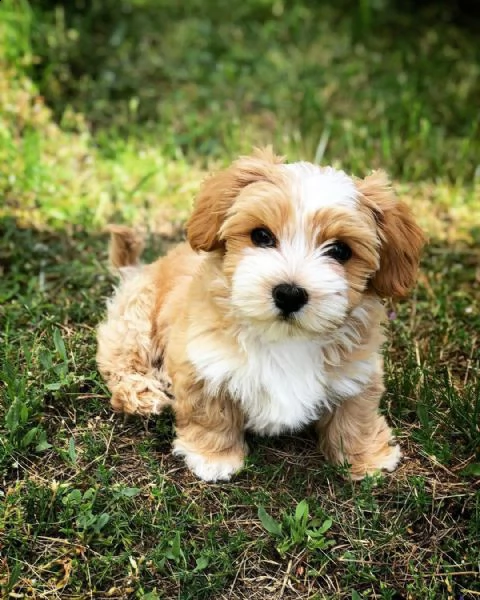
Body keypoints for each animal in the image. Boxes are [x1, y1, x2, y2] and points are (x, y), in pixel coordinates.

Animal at [96, 149, 424, 482]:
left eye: (341, 251)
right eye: (261, 236)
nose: (289, 294)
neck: (284, 338)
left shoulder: (358, 371)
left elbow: (355, 415)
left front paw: (366, 458)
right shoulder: (201, 361)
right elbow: (209, 413)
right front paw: (213, 457)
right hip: (135, 316)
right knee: (121, 359)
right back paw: (141, 393)